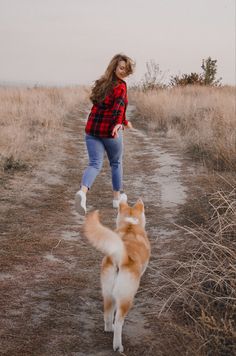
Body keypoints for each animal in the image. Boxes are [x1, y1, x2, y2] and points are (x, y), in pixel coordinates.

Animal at [83, 199, 150, 352]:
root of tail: (121, 257)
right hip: (125, 298)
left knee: (108, 314)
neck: (130, 225)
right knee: (119, 321)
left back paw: (110, 329)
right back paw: (118, 345)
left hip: (107, 292)